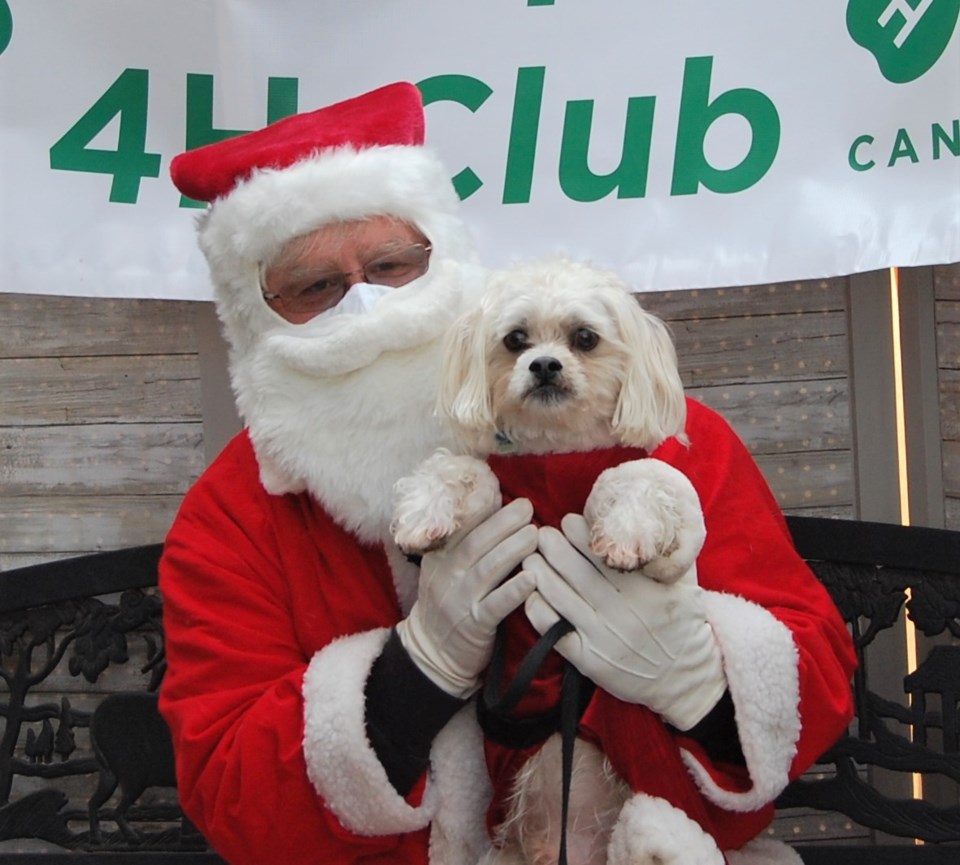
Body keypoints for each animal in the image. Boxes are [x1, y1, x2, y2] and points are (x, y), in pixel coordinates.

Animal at [392, 258, 712, 864]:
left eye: (584, 338)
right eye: (515, 340)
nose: (543, 364)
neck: (555, 457)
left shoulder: (634, 479)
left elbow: (635, 480)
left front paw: (626, 533)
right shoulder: (497, 490)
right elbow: (459, 470)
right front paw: (424, 514)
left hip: (638, 812)